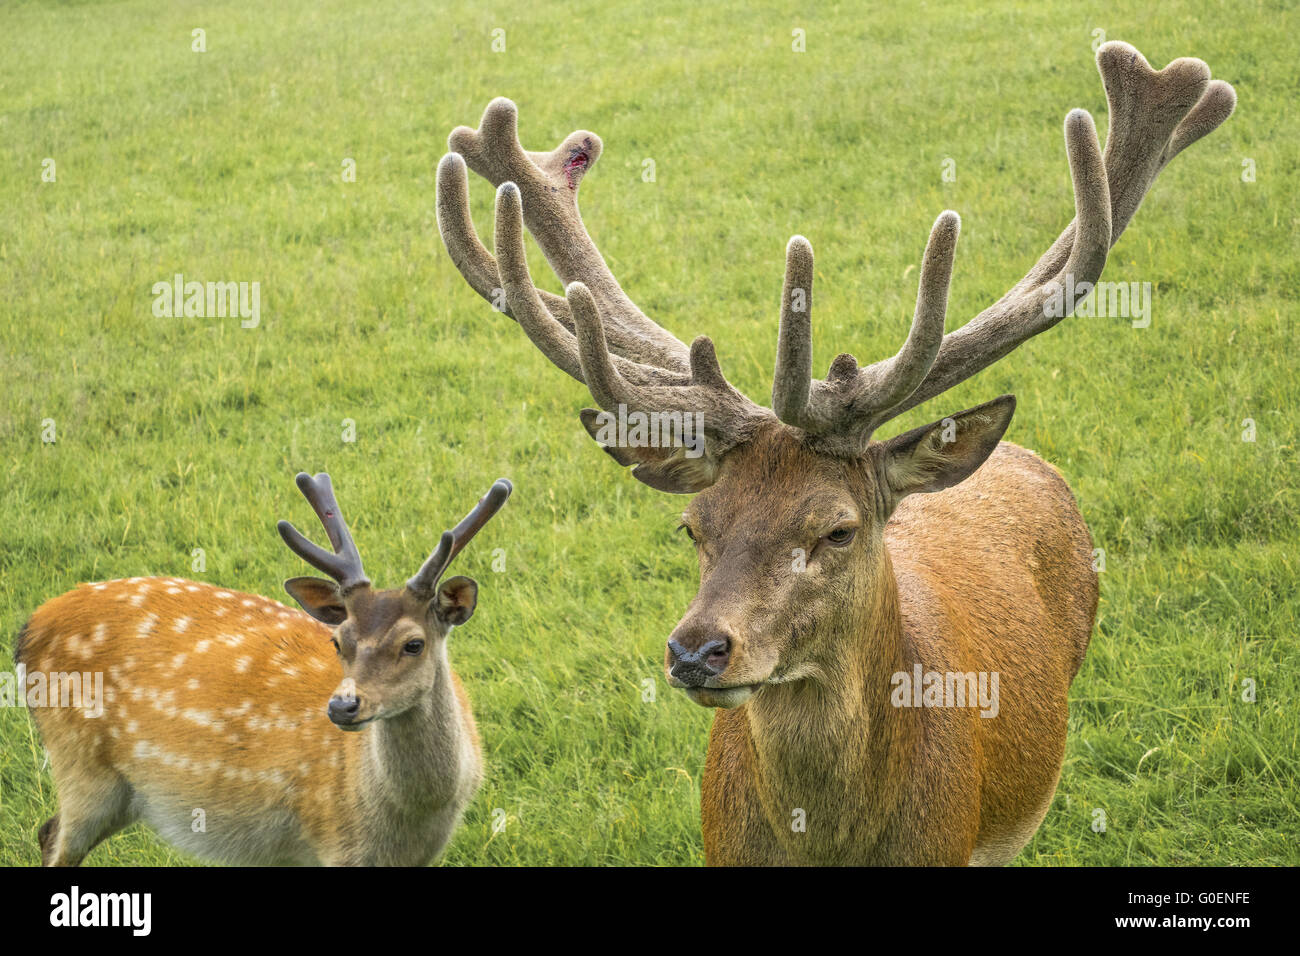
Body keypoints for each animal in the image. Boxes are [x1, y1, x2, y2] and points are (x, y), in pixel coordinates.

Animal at [15, 472, 512, 866]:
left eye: (414, 644)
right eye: (338, 641)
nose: (342, 707)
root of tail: (29, 629)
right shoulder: (336, 842)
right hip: (81, 764)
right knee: (53, 837)